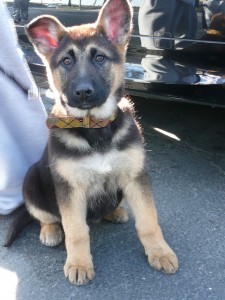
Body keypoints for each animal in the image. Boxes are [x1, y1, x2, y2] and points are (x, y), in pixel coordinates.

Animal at [4, 0, 178, 286]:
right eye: (66, 61)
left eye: (100, 58)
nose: (83, 92)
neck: (95, 129)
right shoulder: (70, 188)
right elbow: (76, 230)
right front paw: (78, 264)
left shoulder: (136, 176)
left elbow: (148, 220)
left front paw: (160, 252)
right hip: (30, 181)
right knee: (43, 216)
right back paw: (50, 231)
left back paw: (115, 212)